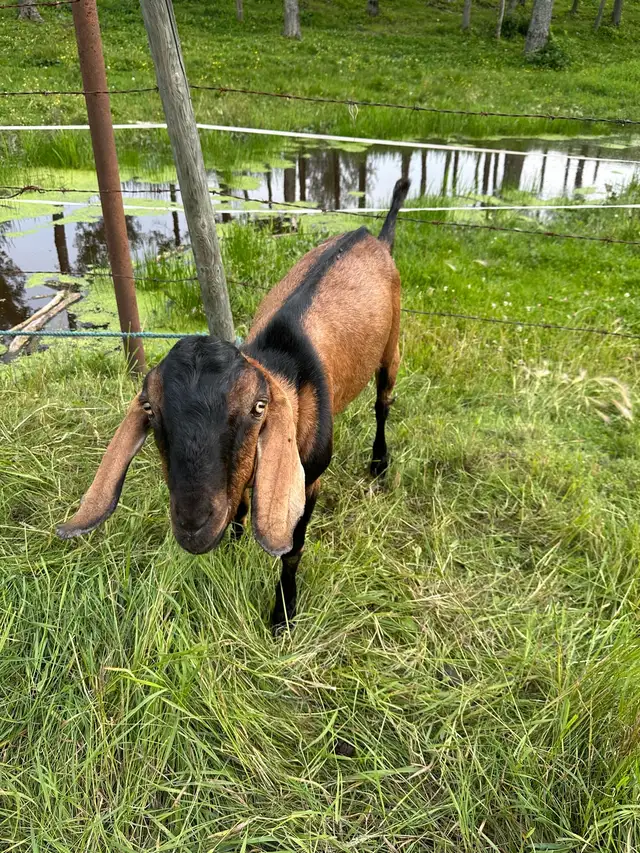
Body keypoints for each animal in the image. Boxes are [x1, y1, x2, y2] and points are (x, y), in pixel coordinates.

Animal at [57, 177, 411, 631]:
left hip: (391, 345)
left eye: (258, 407)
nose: (193, 525)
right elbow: (239, 503)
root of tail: (371, 236)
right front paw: (235, 545)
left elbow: (293, 547)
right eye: (150, 409)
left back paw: (379, 463)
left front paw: (282, 615)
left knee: (383, 402)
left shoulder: (309, 480)